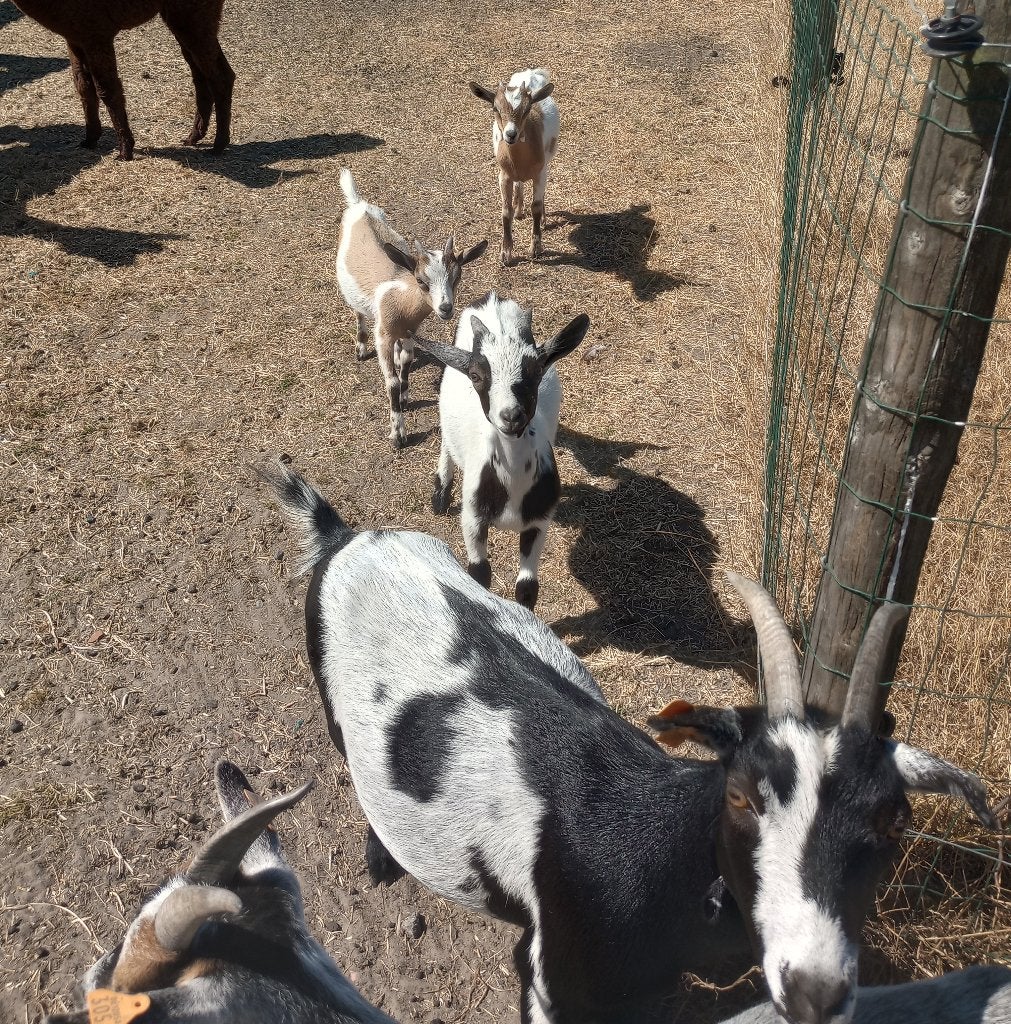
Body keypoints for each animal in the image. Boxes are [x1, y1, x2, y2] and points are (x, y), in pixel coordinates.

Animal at [12, 0, 234, 161]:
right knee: (203, 75)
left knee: (220, 76)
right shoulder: (75, 36)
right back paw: (194, 137)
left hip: (192, 14)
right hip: (182, 16)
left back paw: (218, 145)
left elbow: (107, 90)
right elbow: (83, 85)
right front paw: (89, 140)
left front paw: (125, 151)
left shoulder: (96, 32)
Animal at [262, 458, 999, 1024]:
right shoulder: (551, 975)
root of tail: (349, 537)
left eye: (895, 820)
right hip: (332, 703)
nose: (817, 991)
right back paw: (380, 857)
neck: (653, 844)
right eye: (740, 797)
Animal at [336, 168, 488, 448]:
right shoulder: (383, 335)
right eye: (421, 281)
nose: (446, 308)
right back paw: (360, 348)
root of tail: (358, 204)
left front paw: (405, 397)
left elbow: (406, 361)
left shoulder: (410, 332)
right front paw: (398, 435)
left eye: (457, 277)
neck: (401, 299)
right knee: (359, 313)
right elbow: (392, 382)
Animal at [416, 291, 589, 608]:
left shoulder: (538, 523)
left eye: (537, 370)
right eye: (475, 375)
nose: (511, 416)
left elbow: (527, 587)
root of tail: (492, 299)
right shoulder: (473, 519)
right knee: (446, 437)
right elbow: (479, 575)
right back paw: (441, 493)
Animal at [469, 69, 559, 265]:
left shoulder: (540, 173)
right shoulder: (503, 175)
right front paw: (505, 254)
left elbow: (536, 207)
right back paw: (519, 211)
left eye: (527, 109)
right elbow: (505, 211)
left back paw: (542, 220)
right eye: (495, 108)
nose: (511, 134)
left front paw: (535, 249)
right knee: (519, 183)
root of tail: (531, 72)